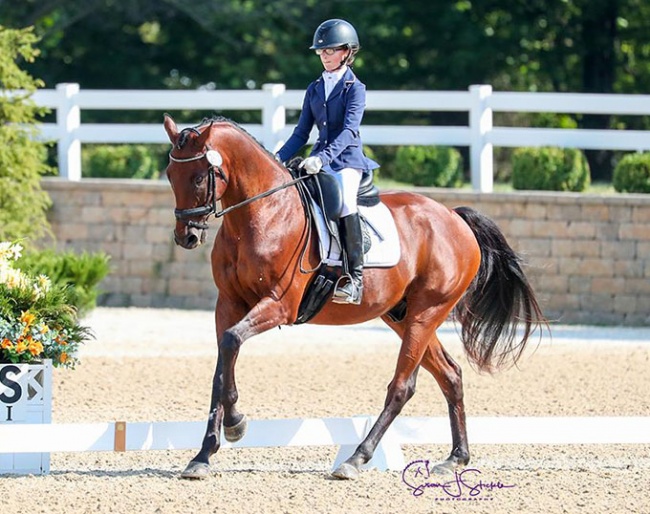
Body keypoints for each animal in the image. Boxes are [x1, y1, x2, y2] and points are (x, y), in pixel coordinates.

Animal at [162, 114, 540, 478]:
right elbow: (222, 363)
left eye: (199, 177)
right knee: (450, 374)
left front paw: (235, 424)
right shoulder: (227, 304)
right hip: (403, 316)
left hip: (428, 311)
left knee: (402, 386)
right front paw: (204, 454)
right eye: (169, 174)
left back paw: (356, 458)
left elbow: (230, 343)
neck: (261, 215)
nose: (187, 236)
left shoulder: (280, 305)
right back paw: (456, 458)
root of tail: (454, 218)